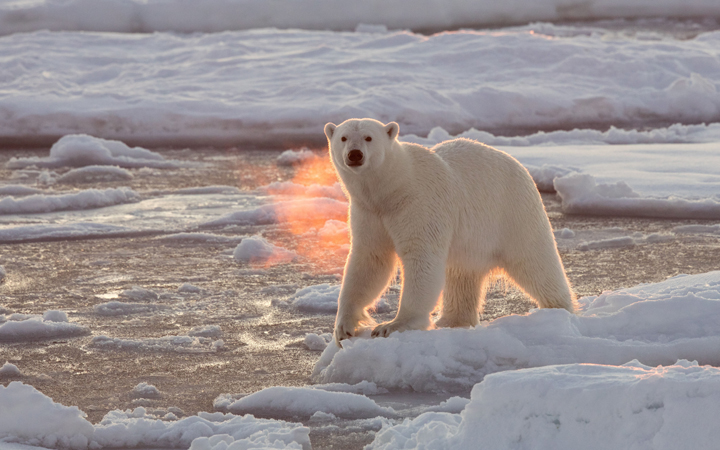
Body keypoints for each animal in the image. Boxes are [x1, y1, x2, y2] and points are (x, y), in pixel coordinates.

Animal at [324, 118, 576, 346]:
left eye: (368, 137)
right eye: (343, 138)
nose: (355, 154)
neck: (391, 190)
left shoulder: (419, 205)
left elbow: (421, 257)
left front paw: (392, 326)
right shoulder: (368, 212)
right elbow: (370, 260)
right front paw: (343, 328)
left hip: (513, 213)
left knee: (535, 261)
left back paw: (558, 309)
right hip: (473, 242)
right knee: (462, 275)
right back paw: (452, 321)